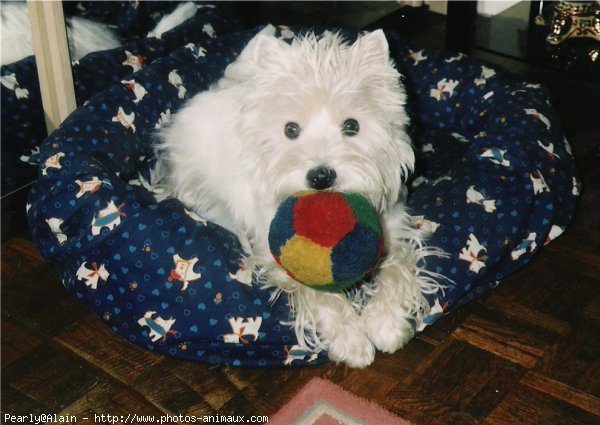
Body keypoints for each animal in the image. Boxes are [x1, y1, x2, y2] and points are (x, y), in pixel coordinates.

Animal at [155, 24, 440, 366]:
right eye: (290, 129)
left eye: (352, 126)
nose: (320, 177)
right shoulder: (274, 250)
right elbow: (318, 293)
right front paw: (352, 340)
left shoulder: (391, 227)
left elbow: (396, 268)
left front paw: (386, 324)